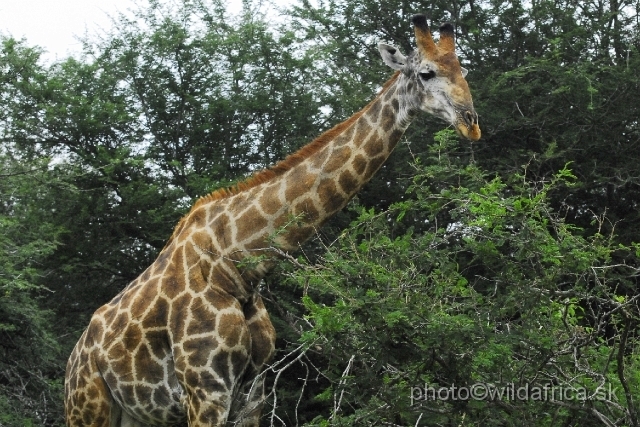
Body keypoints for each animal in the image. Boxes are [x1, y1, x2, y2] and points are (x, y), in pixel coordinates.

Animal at [65, 13, 480, 427]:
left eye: (462, 69)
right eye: (426, 73)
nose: (471, 122)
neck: (239, 266)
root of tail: (74, 360)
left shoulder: (254, 393)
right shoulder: (205, 391)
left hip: (137, 415)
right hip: (89, 407)